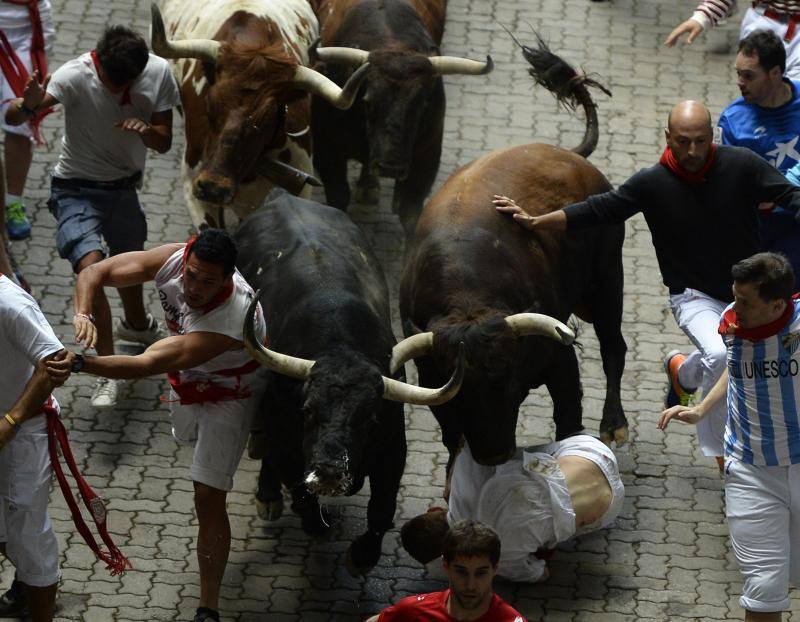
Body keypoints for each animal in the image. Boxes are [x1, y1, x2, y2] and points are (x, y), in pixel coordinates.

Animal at [396, 35, 628, 472]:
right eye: (463, 396)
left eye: (506, 380)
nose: (494, 454)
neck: (468, 297)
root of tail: (568, 154)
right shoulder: (431, 379)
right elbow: (451, 437)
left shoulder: (560, 358)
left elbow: (569, 420)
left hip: (608, 280)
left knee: (614, 348)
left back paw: (614, 424)